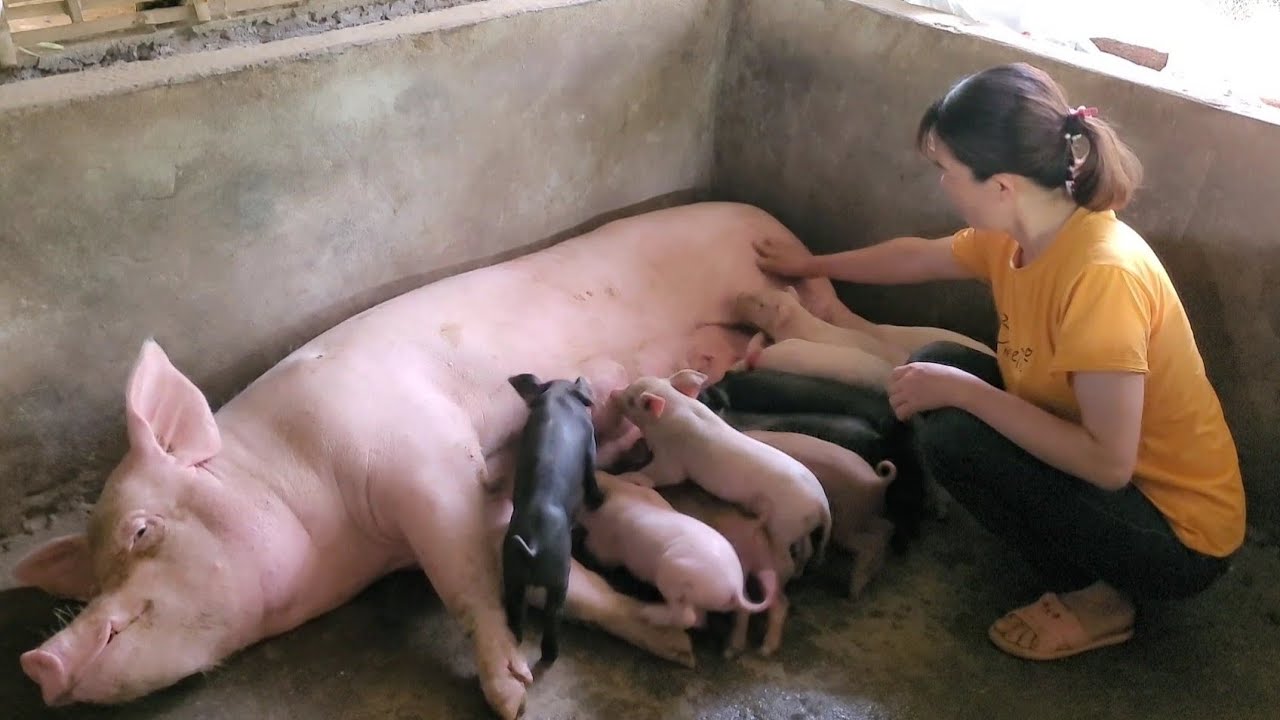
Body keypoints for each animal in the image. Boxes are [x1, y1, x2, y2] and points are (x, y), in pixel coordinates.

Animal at [502, 373, 606, 665]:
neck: (559, 395)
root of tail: (534, 545)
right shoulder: (591, 444)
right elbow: (592, 472)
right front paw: (600, 500)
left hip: (512, 574)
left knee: (516, 611)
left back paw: (517, 640)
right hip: (560, 578)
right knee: (553, 614)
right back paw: (550, 656)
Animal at [578, 471, 772, 629]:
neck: (619, 491)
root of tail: (735, 588)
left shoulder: (606, 545)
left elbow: (598, 552)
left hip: (672, 573)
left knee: (687, 618)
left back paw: (647, 613)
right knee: (699, 619)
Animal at [610, 369, 832, 573]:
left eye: (631, 401)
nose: (613, 393)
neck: (675, 406)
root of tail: (822, 504)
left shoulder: (671, 460)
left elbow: (664, 474)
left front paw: (624, 476)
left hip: (783, 524)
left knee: (786, 556)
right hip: (800, 526)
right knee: (807, 549)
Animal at [658, 483, 794, 658]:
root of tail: (753, 523)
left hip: (741, 565)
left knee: (746, 604)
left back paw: (730, 650)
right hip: (764, 562)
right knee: (779, 602)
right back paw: (765, 649)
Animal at [745, 430, 897, 599]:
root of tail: (876, 481)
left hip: (848, 519)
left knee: (870, 542)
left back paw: (853, 591)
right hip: (866, 514)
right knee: (886, 528)